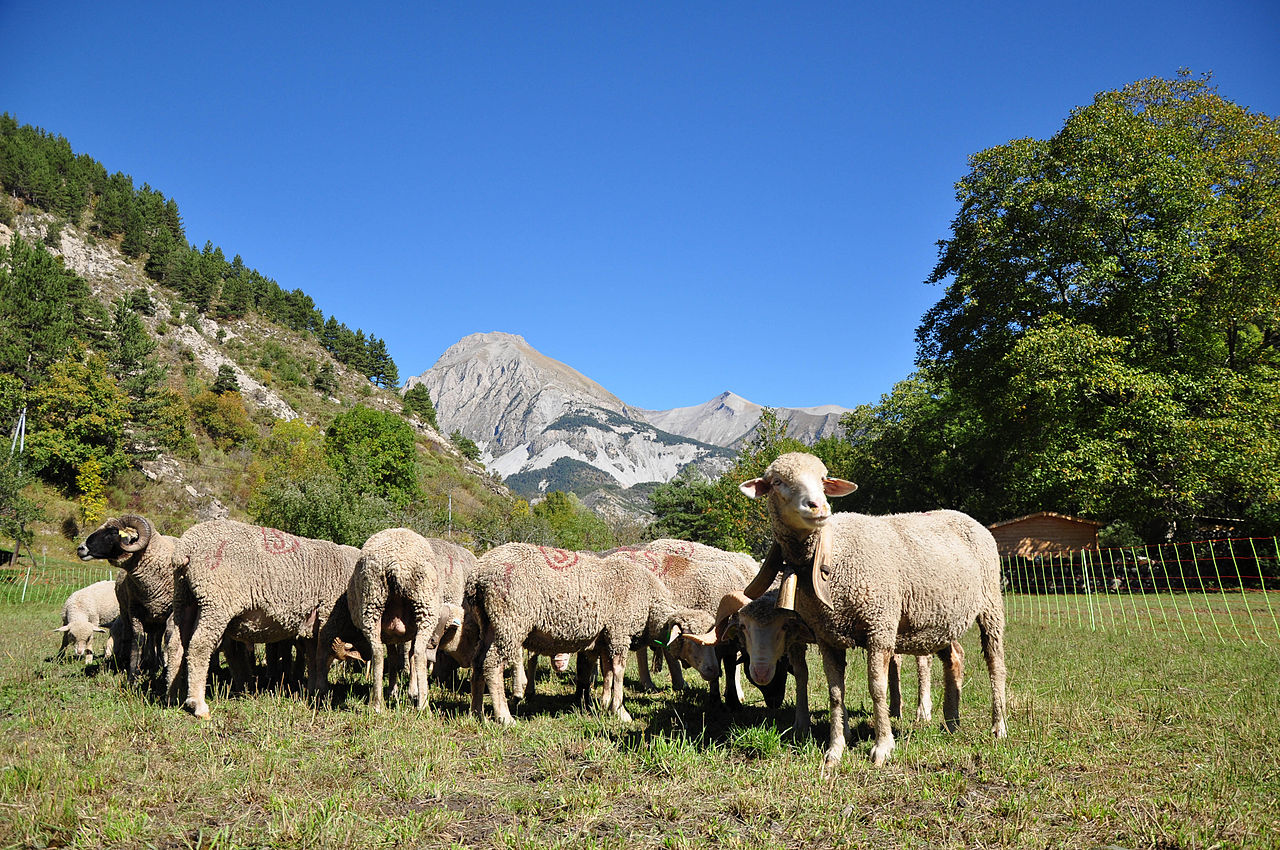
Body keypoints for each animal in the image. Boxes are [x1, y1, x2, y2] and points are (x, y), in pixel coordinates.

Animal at [165, 517, 363, 716]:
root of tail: (187, 546)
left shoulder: (311, 627)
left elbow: (312, 658)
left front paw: (312, 690)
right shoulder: (328, 617)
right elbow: (321, 657)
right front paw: (321, 692)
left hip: (184, 598)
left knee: (176, 645)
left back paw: (172, 696)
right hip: (216, 601)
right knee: (199, 646)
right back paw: (198, 704)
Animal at [465, 545, 716, 721]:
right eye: (692, 641)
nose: (714, 671)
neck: (649, 604)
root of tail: (478, 574)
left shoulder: (605, 637)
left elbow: (607, 671)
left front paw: (604, 703)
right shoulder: (618, 631)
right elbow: (619, 671)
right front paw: (620, 711)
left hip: (488, 623)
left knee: (478, 662)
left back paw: (476, 712)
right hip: (510, 620)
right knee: (492, 664)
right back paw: (504, 717)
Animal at [696, 450, 1003, 768]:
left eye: (822, 479)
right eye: (777, 482)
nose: (818, 506)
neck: (831, 554)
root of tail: (964, 516)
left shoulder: (879, 625)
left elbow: (877, 687)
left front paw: (882, 746)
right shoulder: (827, 635)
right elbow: (833, 692)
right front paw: (835, 748)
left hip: (990, 603)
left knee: (995, 662)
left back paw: (997, 726)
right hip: (940, 619)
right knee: (954, 658)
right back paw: (951, 722)